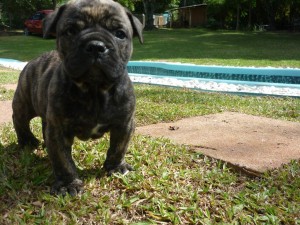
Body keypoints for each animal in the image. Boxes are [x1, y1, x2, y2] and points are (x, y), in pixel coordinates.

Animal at [11, 0, 143, 195]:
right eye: (71, 31)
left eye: (120, 34)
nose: (96, 46)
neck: (94, 89)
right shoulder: (58, 130)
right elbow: (63, 160)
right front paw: (68, 184)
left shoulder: (124, 123)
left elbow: (119, 147)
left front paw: (116, 167)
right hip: (24, 103)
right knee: (19, 120)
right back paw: (28, 141)